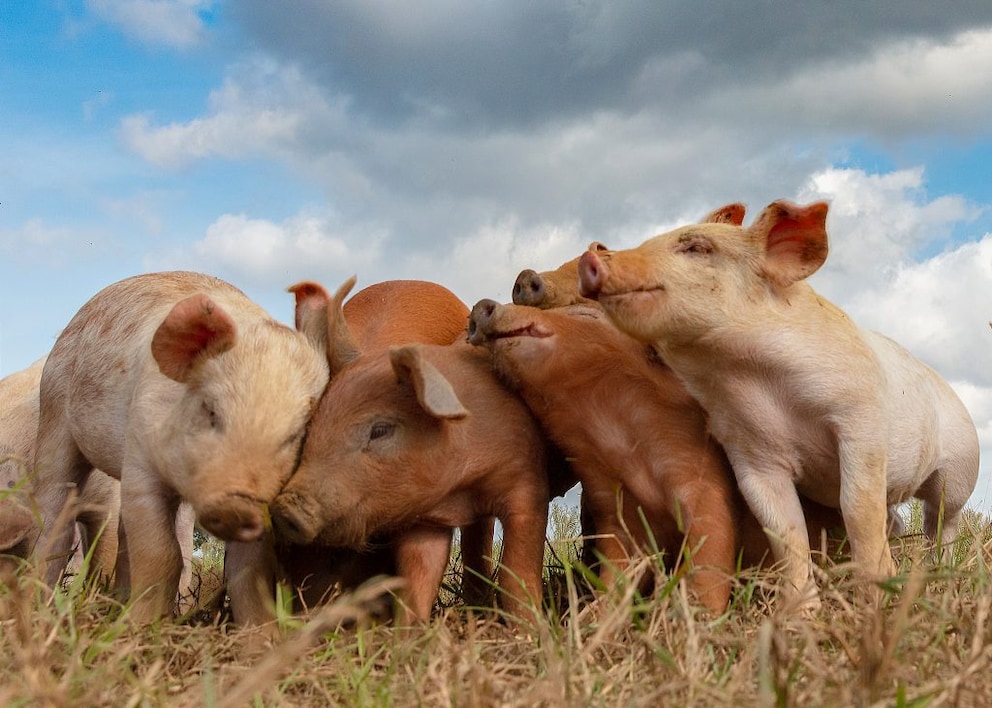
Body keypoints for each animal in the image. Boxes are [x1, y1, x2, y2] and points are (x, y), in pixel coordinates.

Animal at [31, 271, 328, 622]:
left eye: (296, 434)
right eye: (210, 410)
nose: (236, 508)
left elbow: (249, 569)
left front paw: (262, 633)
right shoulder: (140, 459)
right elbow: (161, 554)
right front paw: (141, 627)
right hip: (53, 412)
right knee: (53, 515)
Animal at [467, 301, 845, 613]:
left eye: (584, 314)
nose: (482, 305)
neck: (621, 447)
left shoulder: (707, 482)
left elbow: (708, 563)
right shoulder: (617, 517)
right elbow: (614, 582)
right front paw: (591, 625)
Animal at [576, 200, 980, 608]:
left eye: (698, 248)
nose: (589, 259)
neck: (750, 378)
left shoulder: (860, 419)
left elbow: (855, 506)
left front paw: (876, 601)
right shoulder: (751, 453)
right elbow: (785, 529)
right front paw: (800, 612)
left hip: (960, 470)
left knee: (940, 522)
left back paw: (940, 582)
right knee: (897, 521)